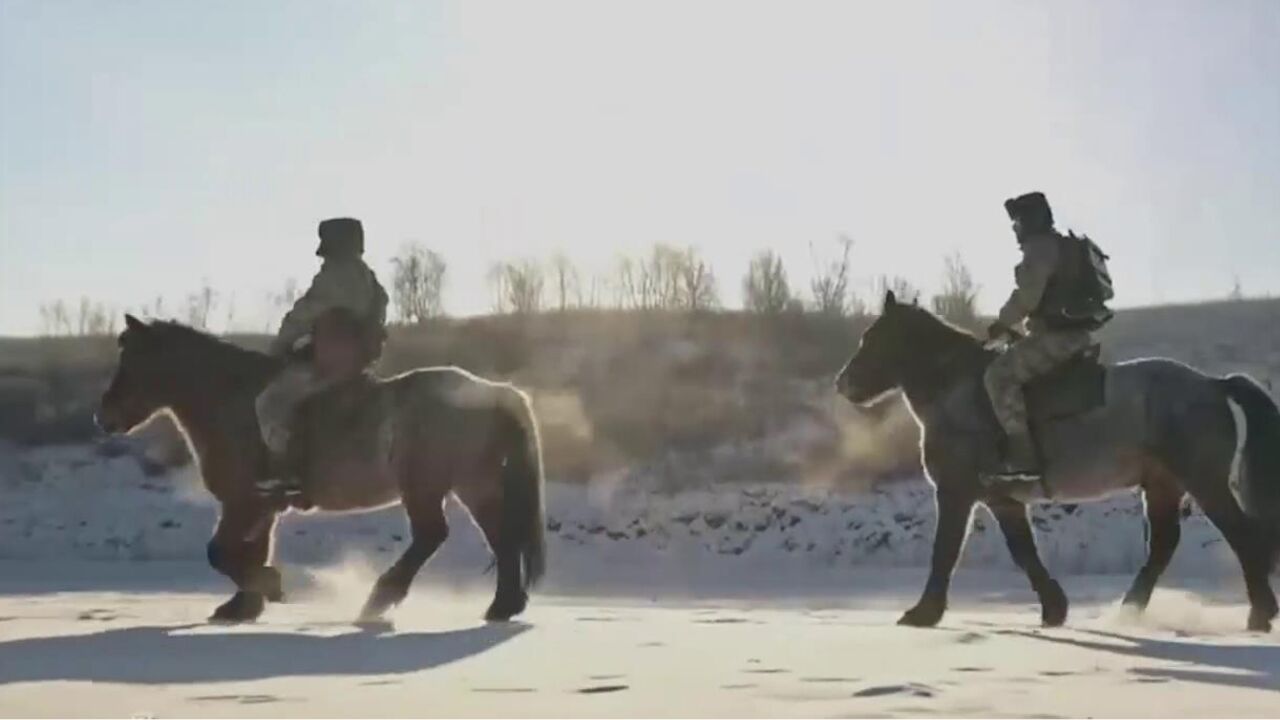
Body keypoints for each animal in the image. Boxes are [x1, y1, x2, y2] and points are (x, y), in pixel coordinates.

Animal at [93, 313, 545, 622]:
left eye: (132, 360)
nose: (104, 416)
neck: (232, 402)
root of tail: (494, 391)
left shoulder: (244, 503)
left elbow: (220, 553)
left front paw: (267, 586)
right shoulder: (260, 508)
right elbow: (248, 550)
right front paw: (243, 605)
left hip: (428, 487)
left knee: (434, 535)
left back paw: (381, 598)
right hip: (474, 485)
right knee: (500, 537)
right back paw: (503, 605)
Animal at [834, 289, 1274, 627]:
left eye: (874, 337)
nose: (843, 383)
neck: (956, 393)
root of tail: (1212, 384)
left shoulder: (956, 493)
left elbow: (945, 550)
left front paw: (923, 613)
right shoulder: (1002, 500)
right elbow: (1023, 552)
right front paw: (1054, 609)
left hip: (1203, 482)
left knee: (1242, 535)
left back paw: (1260, 614)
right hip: (1163, 484)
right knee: (1165, 546)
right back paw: (1128, 611)